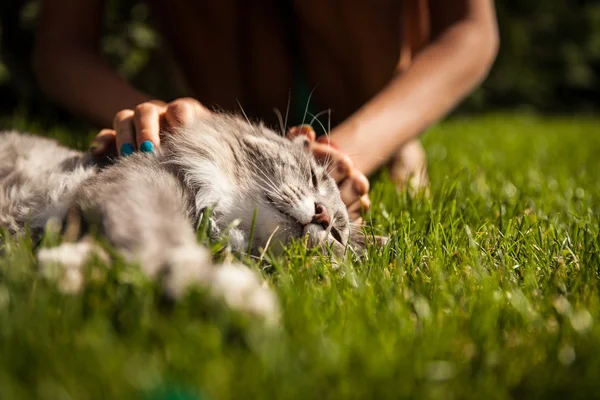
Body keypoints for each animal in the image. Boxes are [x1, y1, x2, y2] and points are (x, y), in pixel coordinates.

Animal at [0, 112, 360, 322]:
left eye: (336, 236)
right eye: (313, 177)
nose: (323, 216)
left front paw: (65, 269)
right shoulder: (136, 189)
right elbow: (166, 243)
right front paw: (229, 294)